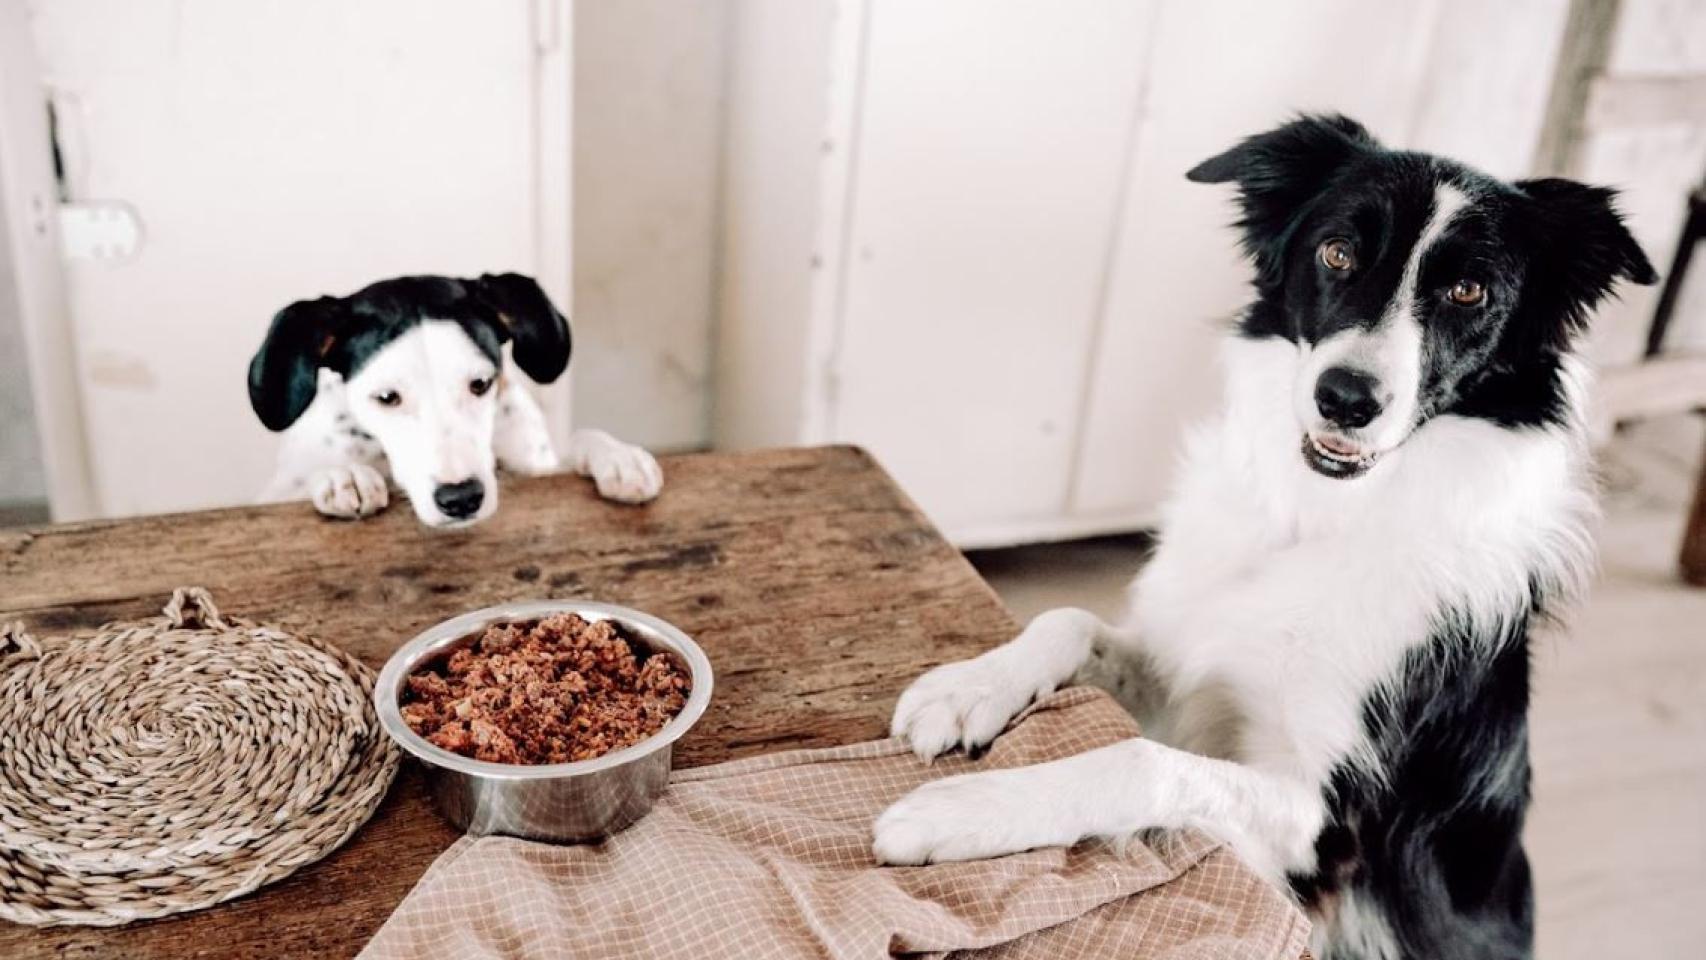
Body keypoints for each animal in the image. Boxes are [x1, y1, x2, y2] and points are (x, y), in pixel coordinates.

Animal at [247, 271, 658, 528]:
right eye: (386, 397)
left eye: (480, 384)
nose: (461, 499)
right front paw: (342, 474)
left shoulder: (536, 463)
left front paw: (617, 455)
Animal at [873, 114, 1644, 960]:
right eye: (1337, 252)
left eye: (1468, 290)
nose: (1345, 399)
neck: (1317, 518)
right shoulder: (1184, 669)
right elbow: (1067, 620)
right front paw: (965, 690)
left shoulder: (1326, 827)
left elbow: (1141, 761)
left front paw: (957, 811)